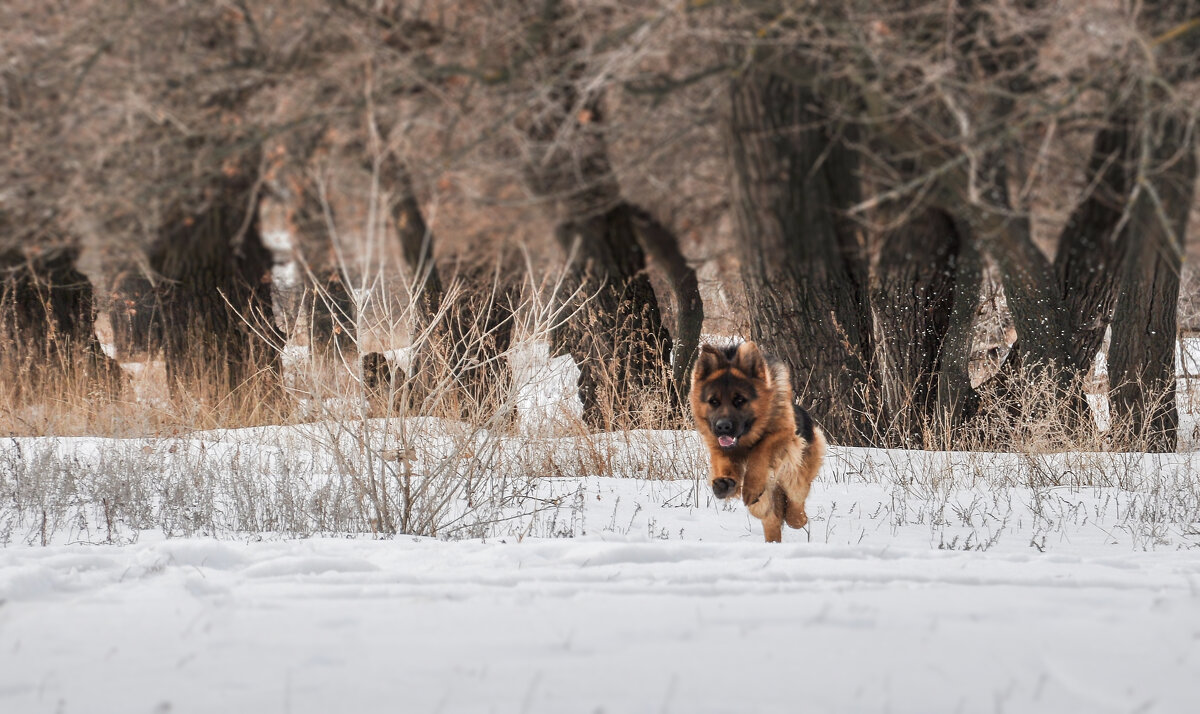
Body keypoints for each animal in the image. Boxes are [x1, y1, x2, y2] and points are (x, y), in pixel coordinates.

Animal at [696, 343, 825, 542]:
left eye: (740, 400)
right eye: (714, 401)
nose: (722, 427)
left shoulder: (784, 434)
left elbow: (762, 450)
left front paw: (751, 486)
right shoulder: (717, 445)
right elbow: (723, 460)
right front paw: (725, 483)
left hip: (795, 477)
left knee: (795, 502)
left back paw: (796, 517)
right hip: (762, 504)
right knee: (771, 516)